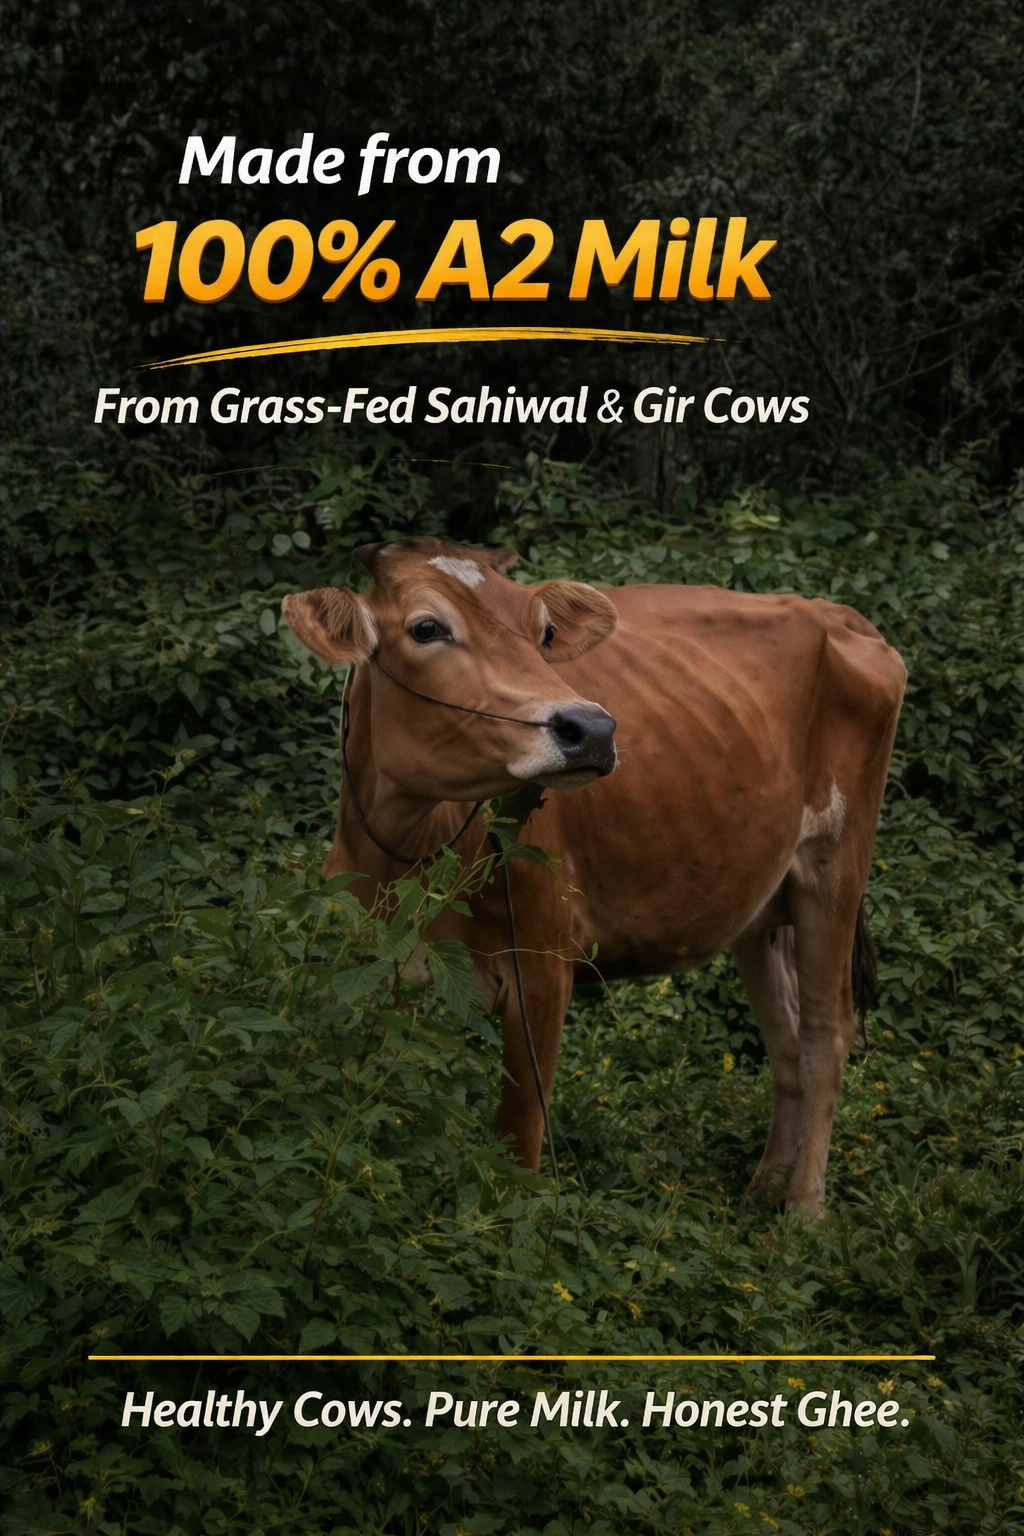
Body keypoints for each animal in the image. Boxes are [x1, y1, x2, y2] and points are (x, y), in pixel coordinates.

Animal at [282, 536, 906, 1217]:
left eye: (544, 631)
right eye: (426, 628)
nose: (593, 730)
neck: (405, 852)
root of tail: (836, 612)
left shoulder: (542, 966)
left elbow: (519, 1140)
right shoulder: (367, 967)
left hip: (836, 867)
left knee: (826, 1037)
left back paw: (803, 1210)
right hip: (762, 904)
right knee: (786, 1040)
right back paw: (764, 1185)